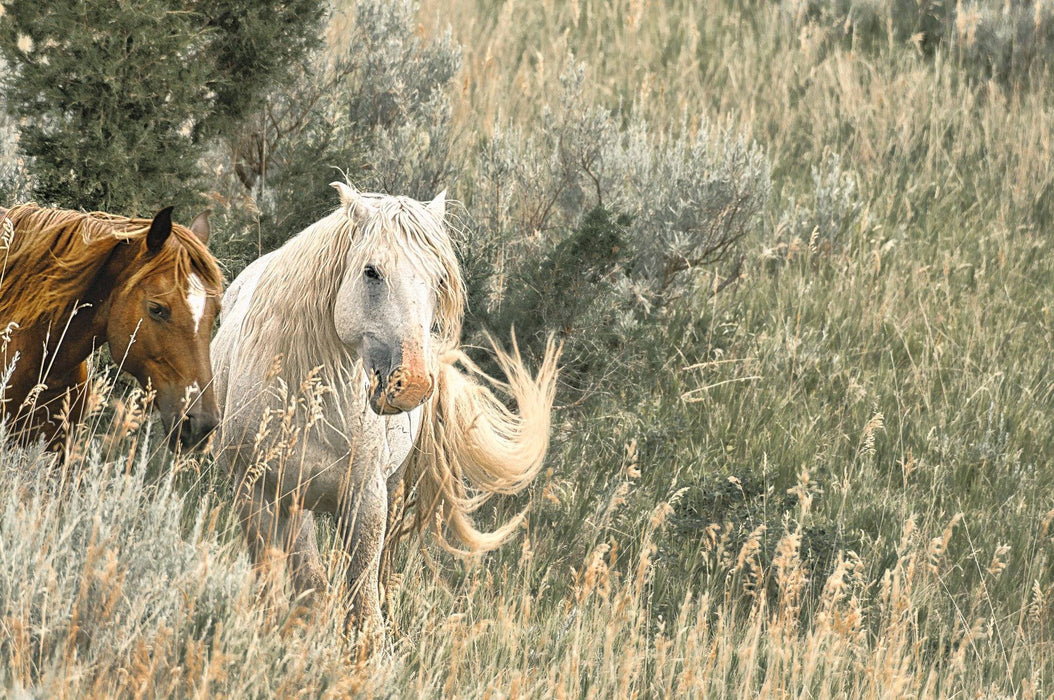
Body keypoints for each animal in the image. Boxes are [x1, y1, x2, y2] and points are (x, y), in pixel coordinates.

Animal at [212, 183, 560, 646]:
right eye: (371, 272)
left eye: (440, 279)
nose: (410, 383)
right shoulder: (254, 492)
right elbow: (279, 588)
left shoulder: (367, 500)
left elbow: (364, 610)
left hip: (390, 493)